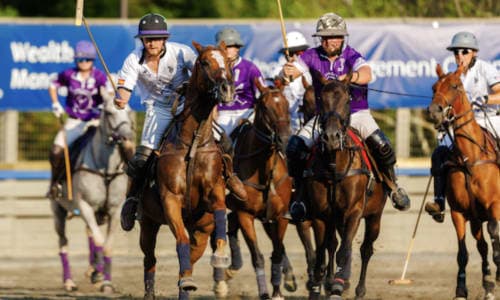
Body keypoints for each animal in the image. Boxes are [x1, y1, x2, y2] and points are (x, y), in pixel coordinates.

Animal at [139, 41, 234, 300]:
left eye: (228, 61)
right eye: (204, 62)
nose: (226, 89)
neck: (193, 142)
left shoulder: (214, 191)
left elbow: (220, 210)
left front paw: (221, 256)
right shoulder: (170, 198)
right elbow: (180, 240)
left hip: (200, 229)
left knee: (189, 259)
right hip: (147, 222)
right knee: (150, 258)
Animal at [222, 81, 294, 298]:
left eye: (287, 104)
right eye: (265, 107)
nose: (284, 139)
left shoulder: (280, 216)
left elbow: (277, 252)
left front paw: (277, 291)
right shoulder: (246, 214)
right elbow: (257, 256)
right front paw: (264, 293)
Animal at [304, 78, 386, 300]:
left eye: (347, 99)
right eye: (321, 99)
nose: (331, 137)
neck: (335, 166)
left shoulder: (354, 211)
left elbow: (345, 251)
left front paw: (338, 285)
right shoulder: (321, 214)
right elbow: (323, 252)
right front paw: (320, 286)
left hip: (374, 216)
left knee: (365, 249)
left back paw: (358, 289)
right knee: (333, 245)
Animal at [426, 63, 500, 300]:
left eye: (455, 86)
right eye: (434, 87)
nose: (434, 111)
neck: (470, 157)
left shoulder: (495, 205)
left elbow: (495, 235)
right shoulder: (459, 212)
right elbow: (463, 253)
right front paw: (461, 290)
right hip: (475, 218)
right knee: (481, 245)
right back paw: (488, 283)